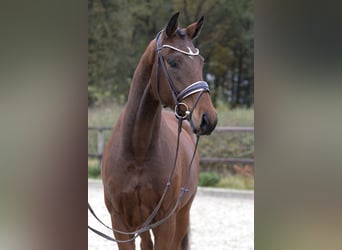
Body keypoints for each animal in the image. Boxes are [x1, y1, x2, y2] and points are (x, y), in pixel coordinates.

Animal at [101, 12, 218, 249]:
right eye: (173, 62)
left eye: (200, 62)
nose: (207, 119)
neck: (137, 150)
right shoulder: (121, 224)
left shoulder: (166, 222)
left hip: (181, 215)